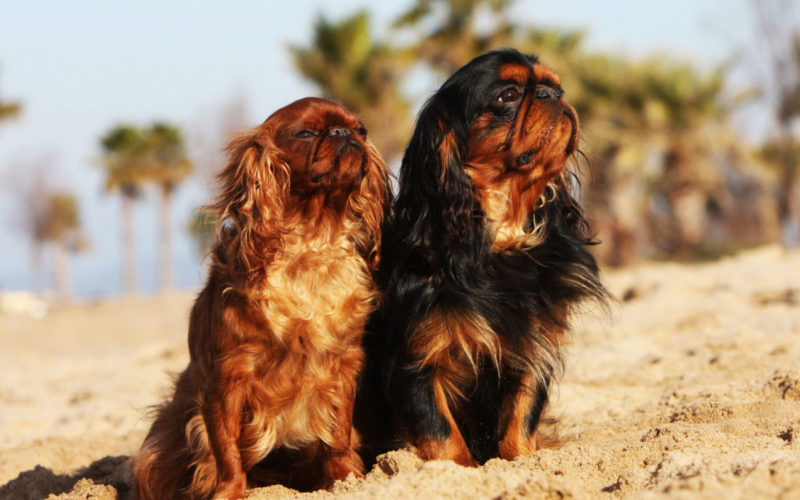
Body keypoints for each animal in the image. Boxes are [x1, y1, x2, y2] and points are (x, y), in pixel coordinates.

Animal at [134, 97, 390, 500]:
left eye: (361, 130)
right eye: (305, 133)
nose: (345, 134)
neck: (310, 243)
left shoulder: (342, 367)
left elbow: (337, 433)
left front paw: (347, 479)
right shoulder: (227, 378)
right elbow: (225, 449)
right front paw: (229, 491)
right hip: (157, 449)